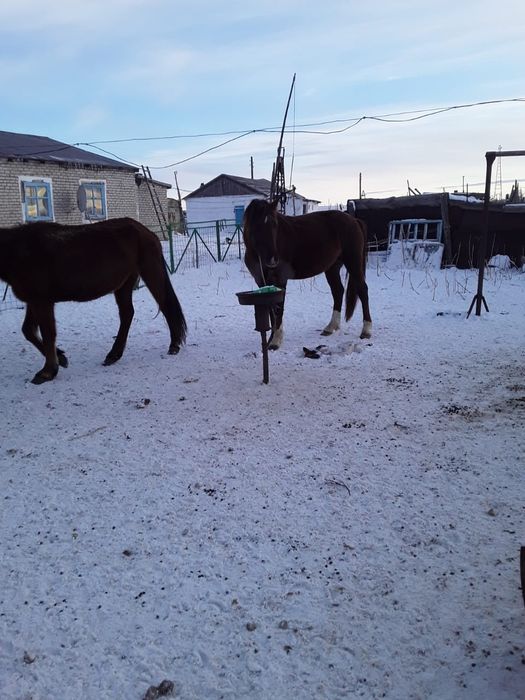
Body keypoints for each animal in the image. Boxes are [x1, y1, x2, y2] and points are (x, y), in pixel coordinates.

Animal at [0, 217, 187, 384]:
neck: (18, 250)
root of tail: (147, 232)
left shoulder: (42, 301)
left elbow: (48, 334)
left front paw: (48, 371)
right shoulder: (33, 300)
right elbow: (29, 331)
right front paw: (61, 358)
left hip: (150, 271)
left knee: (164, 305)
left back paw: (174, 345)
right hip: (125, 284)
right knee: (127, 314)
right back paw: (114, 355)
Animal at [242, 199, 372, 349]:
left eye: (275, 224)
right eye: (257, 226)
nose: (273, 259)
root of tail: (354, 220)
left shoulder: (280, 279)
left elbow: (279, 308)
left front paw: (276, 341)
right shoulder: (262, 282)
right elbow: (270, 309)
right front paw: (270, 339)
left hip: (353, 262)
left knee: (363, 290)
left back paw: (366, 330)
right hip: (332, 268)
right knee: (338, 291)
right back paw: (331, 327)